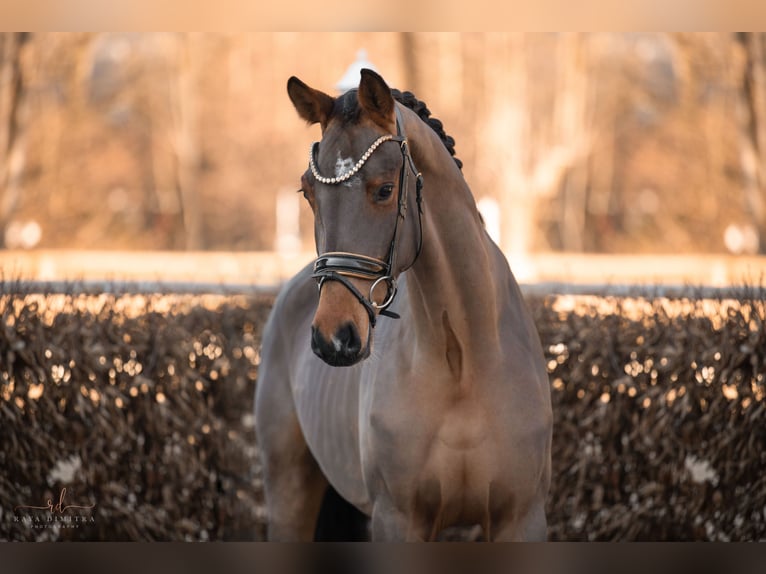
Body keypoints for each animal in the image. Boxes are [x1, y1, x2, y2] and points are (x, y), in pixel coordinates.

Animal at [256, 70, 552, 544]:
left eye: (384, 189)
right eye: (307, 192)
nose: (334, 337)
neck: (463, 362)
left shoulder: (521, 520)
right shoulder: (397, 519)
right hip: (290, 490)